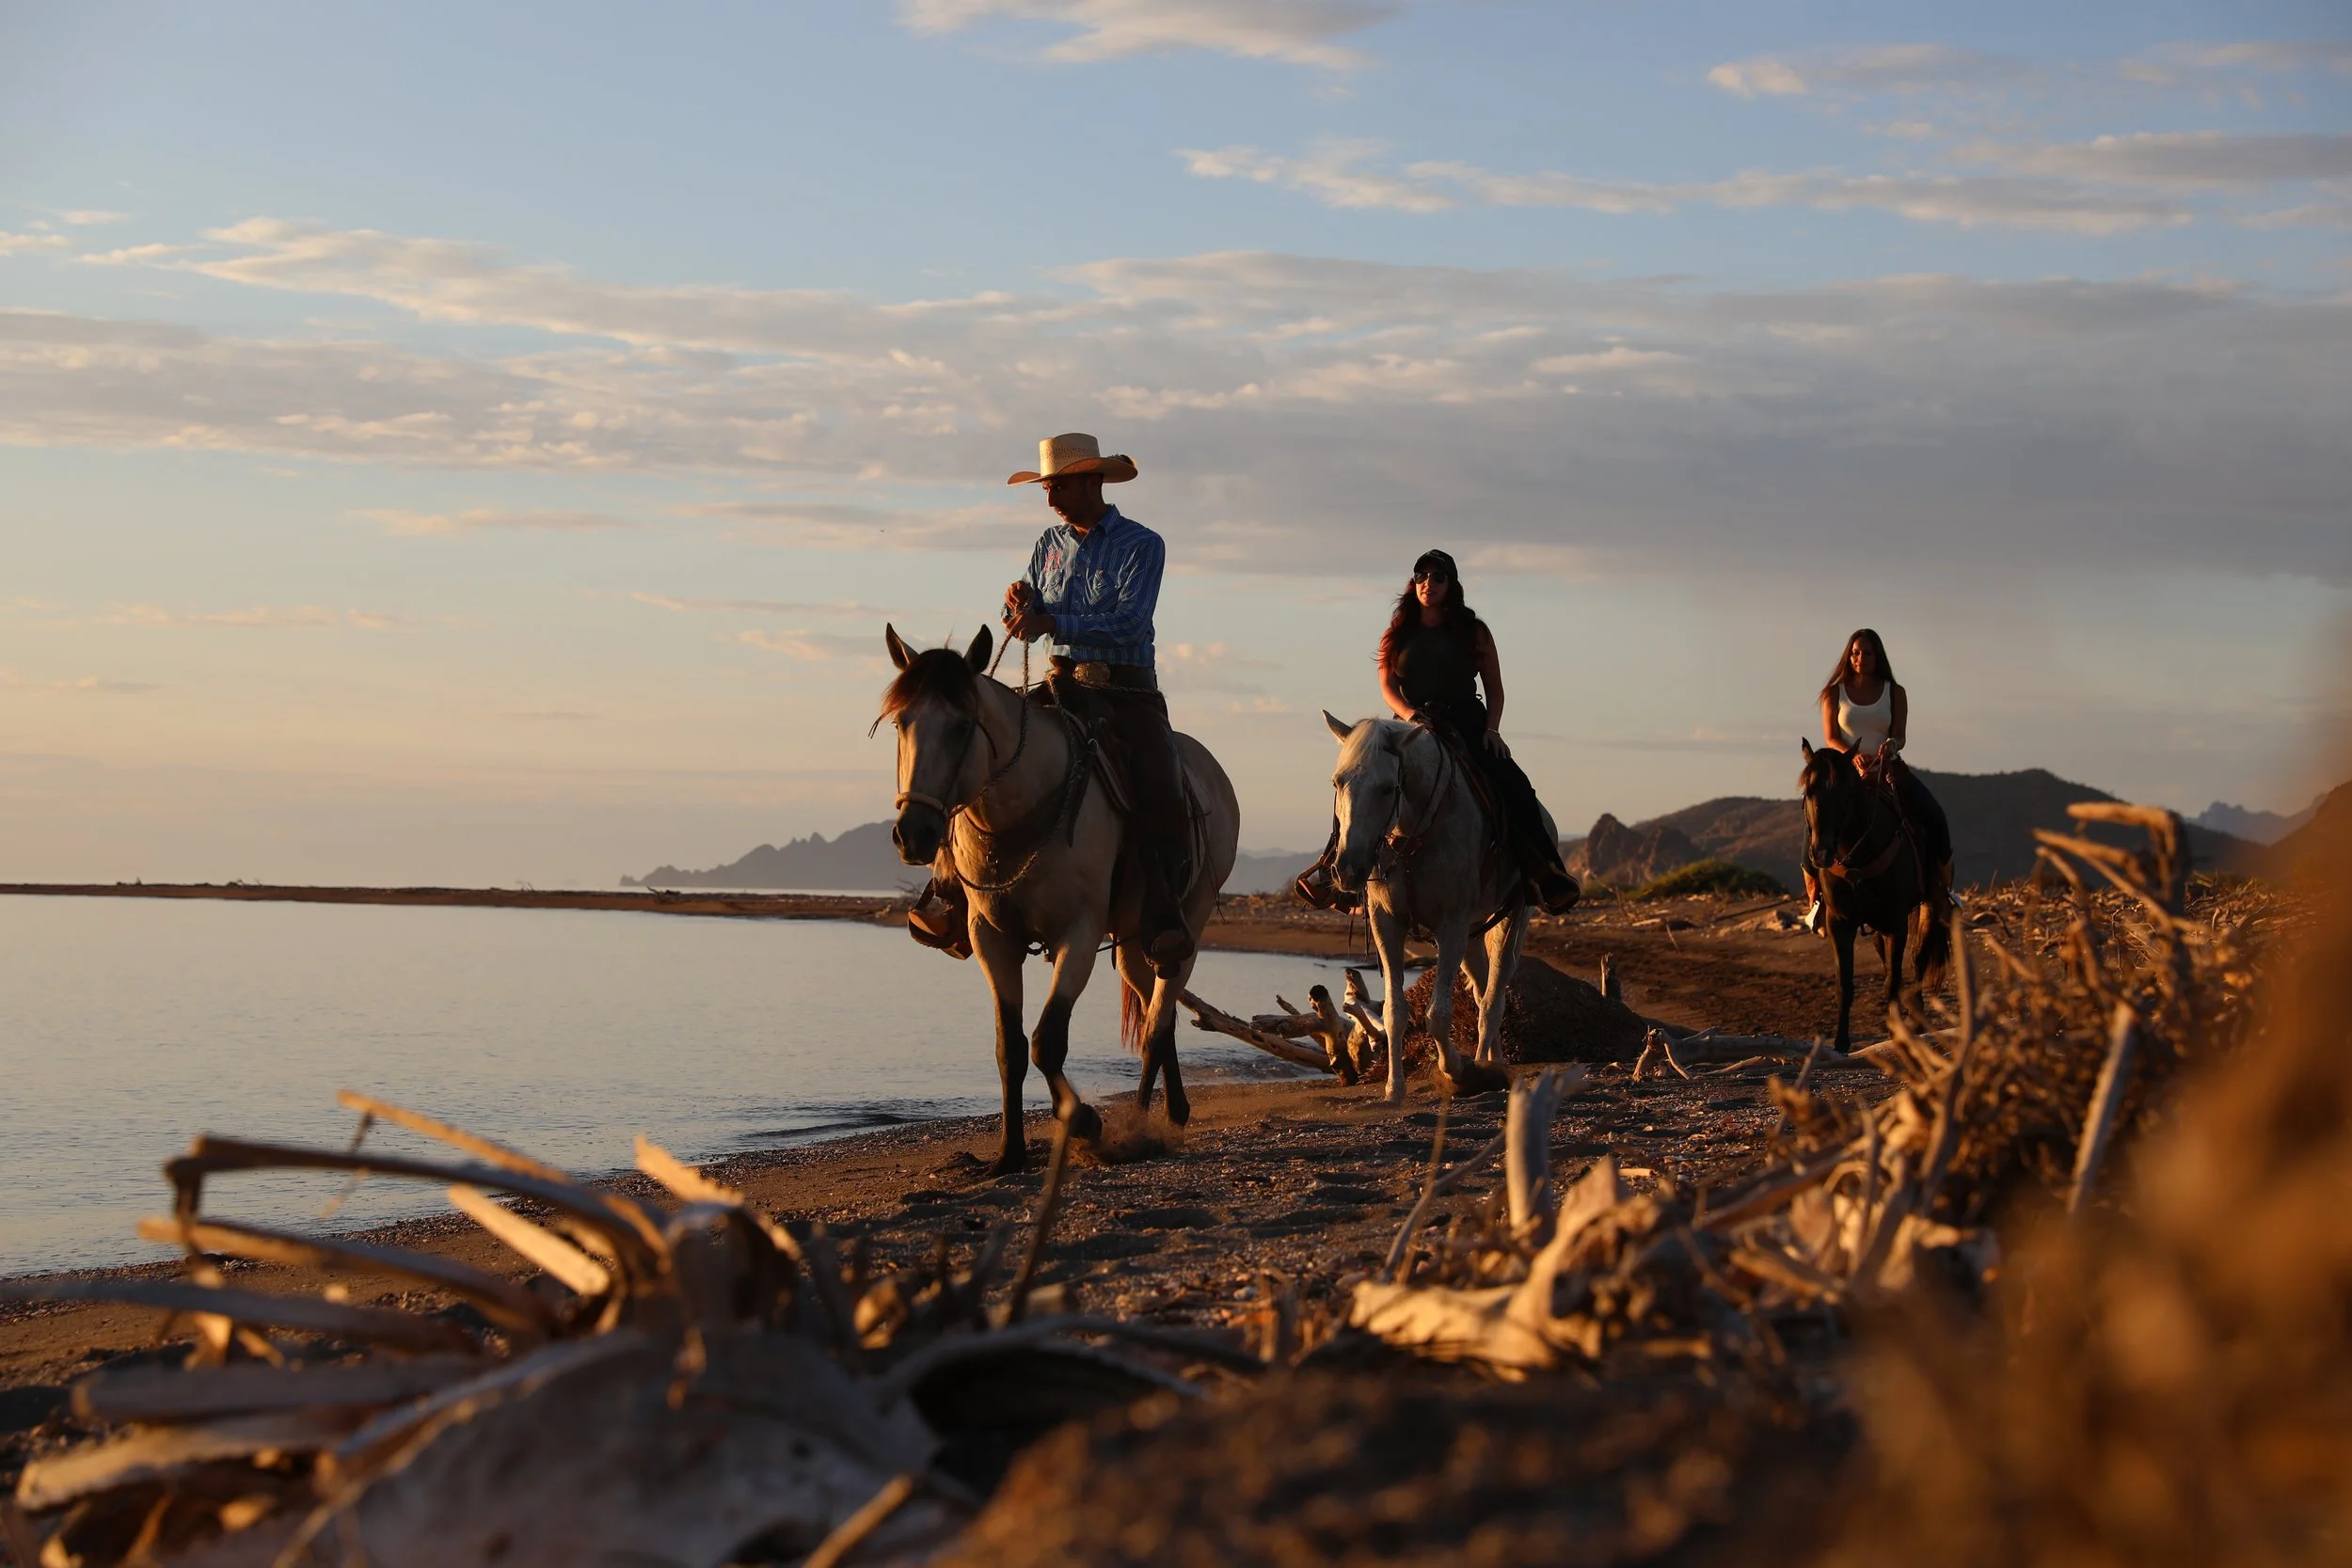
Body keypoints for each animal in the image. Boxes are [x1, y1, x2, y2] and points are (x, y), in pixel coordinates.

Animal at [881, 626, 1240, 1176]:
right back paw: (1165, 1112)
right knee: (1157, 1009)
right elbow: (1010, 1047)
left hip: (1188, 924)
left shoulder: (1079, 934)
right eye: (902, 722)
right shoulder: (993, 938)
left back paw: (1142, 1124)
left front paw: (1087, 1121)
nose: (913, 834)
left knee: (1158, 1020)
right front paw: (1009, 1155)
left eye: (963, 727)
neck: (1023, 809)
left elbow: (1047, 1042)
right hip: (1133, 941)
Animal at [1322, 712, 1544, 1104]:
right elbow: (1394, 1012)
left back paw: (1487, 1068)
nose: (1348, 869)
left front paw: (1456, 1068)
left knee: (1494, 997)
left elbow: (1438, 1015)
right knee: (1482, 992)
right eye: (1338, 781)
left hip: (1511, 921)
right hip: (1473, 935)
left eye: (1387, 788)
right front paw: (1394, 1089)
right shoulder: (1387, 923)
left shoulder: (1451, 924)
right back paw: (1493, 1060)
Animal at [1799, 738, 1952, 1054]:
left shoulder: (1896, 922)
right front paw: (1840, 1043)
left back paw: (1916, 1018)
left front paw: (1896, 1033)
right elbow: (1845, 983)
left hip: (1927, 904)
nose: (1821, 854)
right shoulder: (1840, 923)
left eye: (1846, 792)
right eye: (1808, 791)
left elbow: (1893, 980)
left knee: (1918, 956)